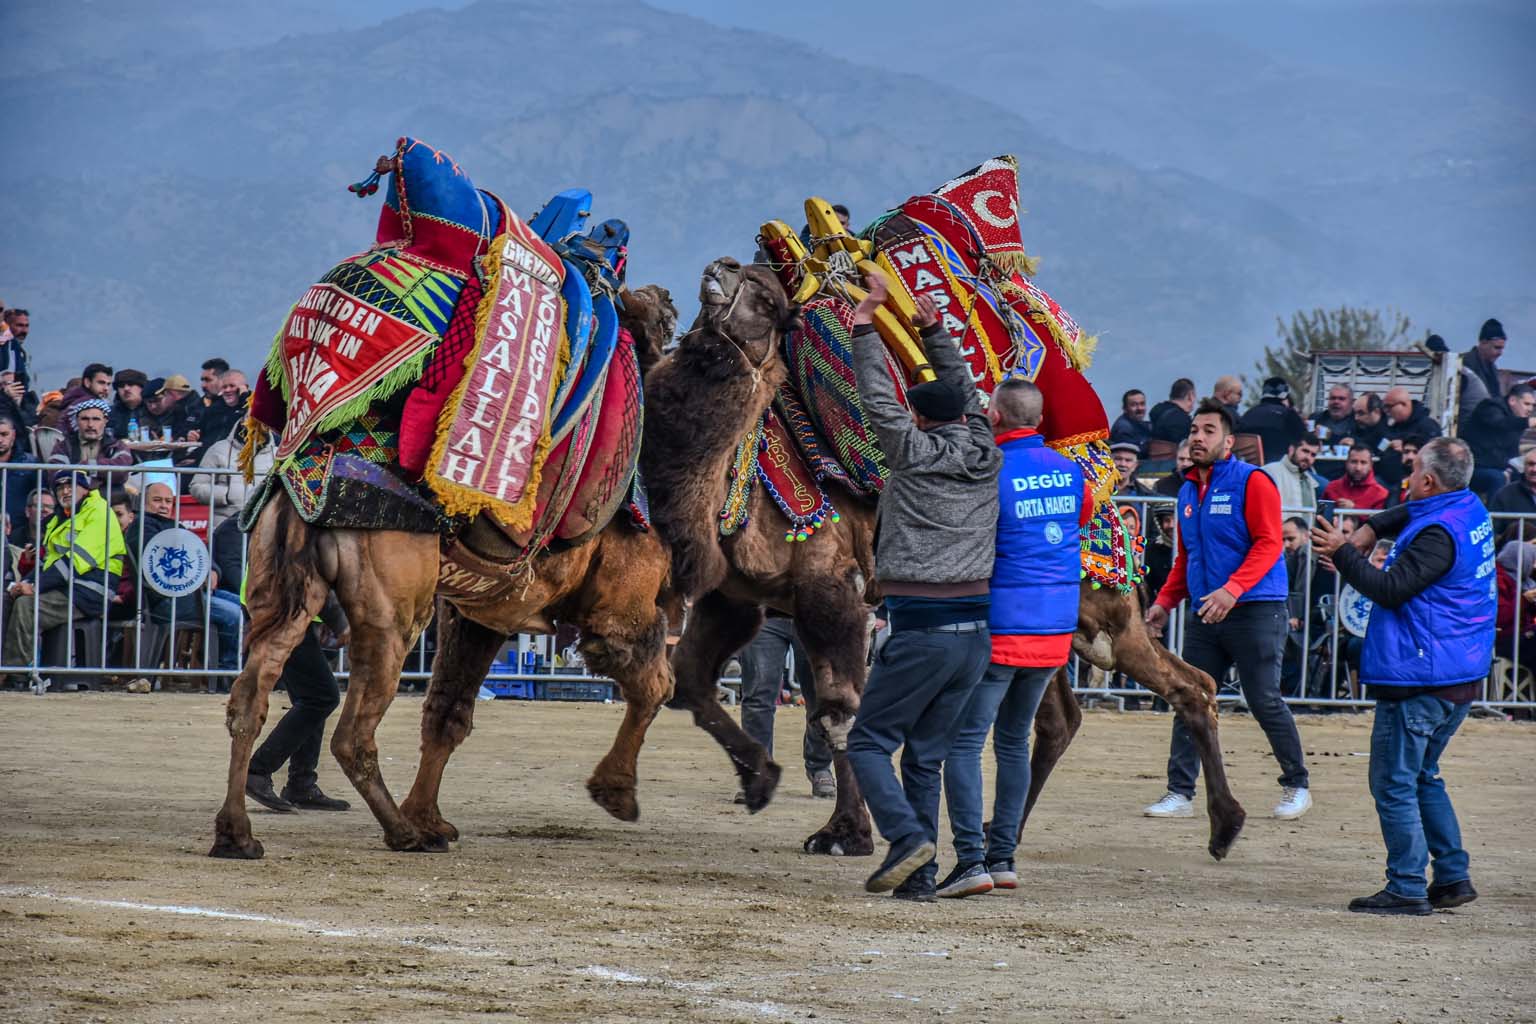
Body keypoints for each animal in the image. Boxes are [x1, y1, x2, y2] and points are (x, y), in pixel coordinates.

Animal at [210, 288, 678, 859]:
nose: (673, 300)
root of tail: (304, 493)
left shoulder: (482, 614)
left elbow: (448, 710)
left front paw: (433, 817)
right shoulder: (620, 613)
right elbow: (656, 684)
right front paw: (617, 793)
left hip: (283, 590)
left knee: (249, 699)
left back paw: (237, 832)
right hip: (396, 616)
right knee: (351, 731)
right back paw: (401, 832)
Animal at [642, 256, 1241, 859]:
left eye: (765, 296)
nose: (718, 269)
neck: (740, 483)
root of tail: (1115, 515)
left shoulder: (832, 590)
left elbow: (839, 711)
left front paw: (847, 833)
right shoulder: (738, 599)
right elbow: (688, 681)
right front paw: (762, 782)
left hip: (1107, 622)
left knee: (1190, 685)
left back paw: (1225, 826)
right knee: (1062, 719)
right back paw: (1005, 833)